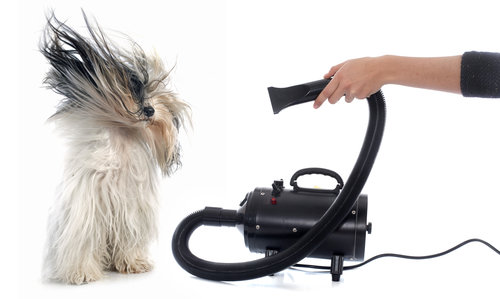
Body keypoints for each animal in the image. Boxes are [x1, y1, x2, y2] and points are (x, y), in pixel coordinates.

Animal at [40, 12, 189, 286]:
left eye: (152, 89)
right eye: (131, 89)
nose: (149, 110)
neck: (123, 138)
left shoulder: (131, 212)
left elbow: (129, 241)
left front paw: (134, 263)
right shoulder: (86, 212)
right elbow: (83, 243)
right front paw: (82, 273)